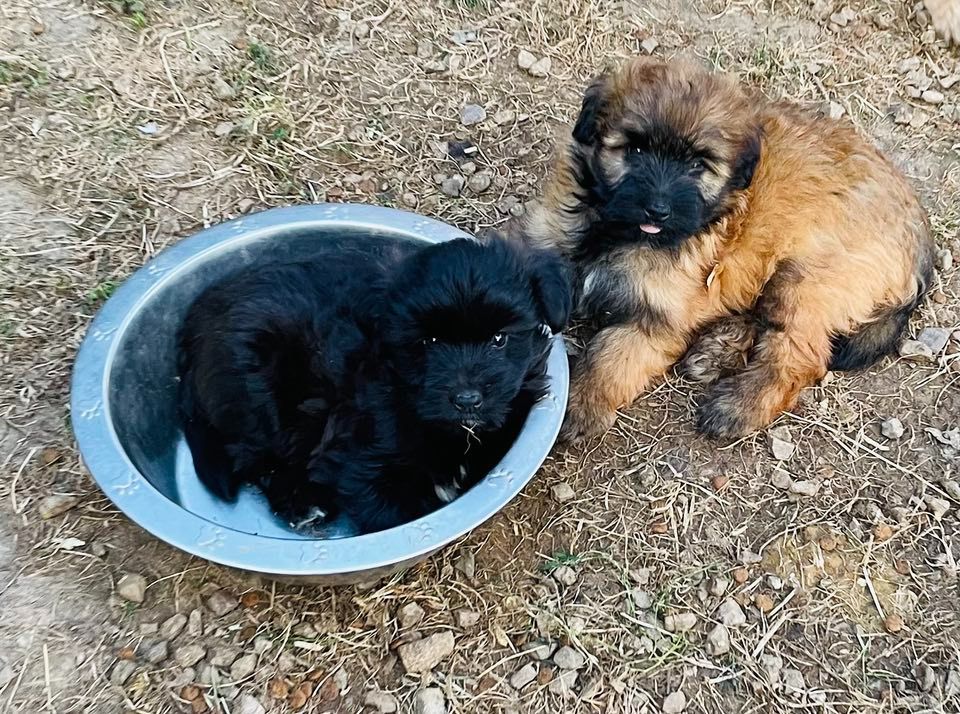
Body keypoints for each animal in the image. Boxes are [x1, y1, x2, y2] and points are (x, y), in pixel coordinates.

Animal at [178, 234, 568, 536]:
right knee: (255, 457)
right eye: (429, 341)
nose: (467, 399)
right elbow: (393, 508)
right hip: (260, 391)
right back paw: (302, 503)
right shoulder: (360, 463)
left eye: (499, 339)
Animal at [512, 58, 932, 440]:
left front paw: (580, 405)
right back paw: (718, 348)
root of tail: (919, 232)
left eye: (698, 164)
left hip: (808, 276)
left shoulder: (655, 319)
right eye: (634, 149)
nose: (658, 209)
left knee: (798, 355)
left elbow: (610, 357)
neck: (619, 235)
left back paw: (737, 406)